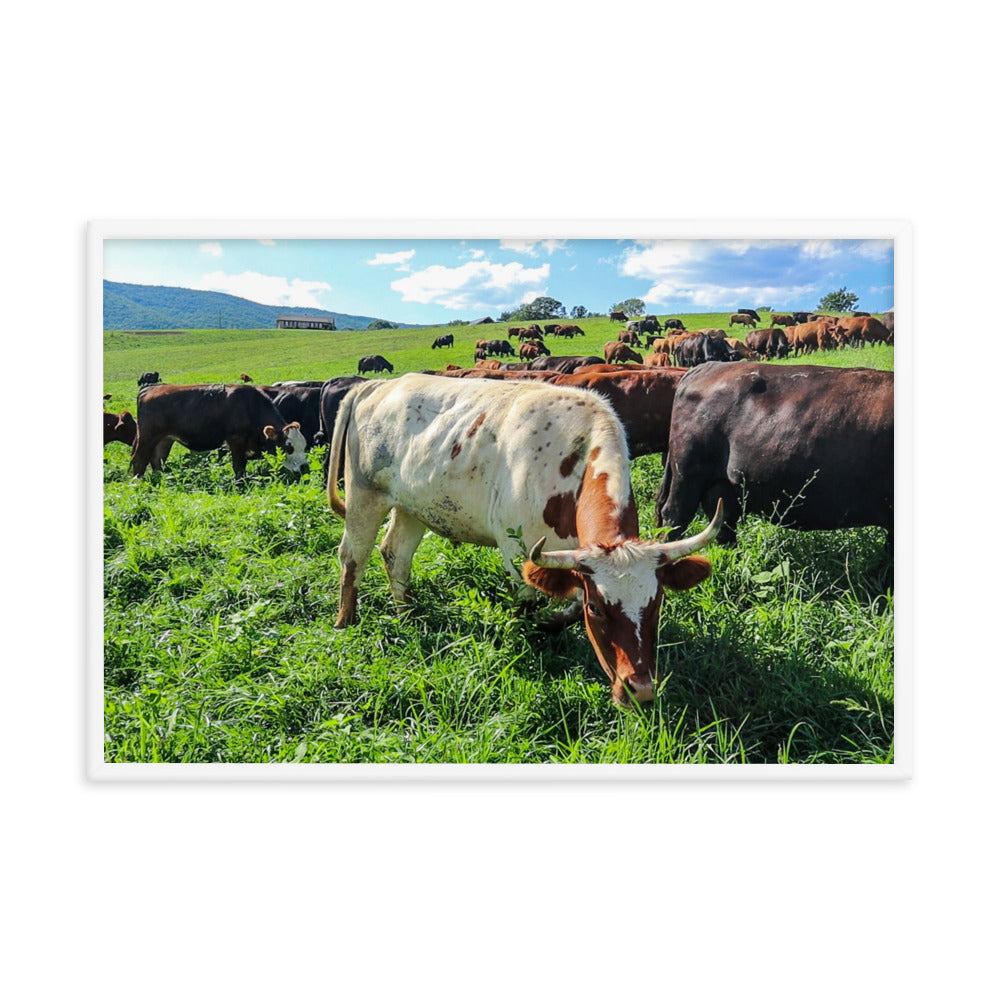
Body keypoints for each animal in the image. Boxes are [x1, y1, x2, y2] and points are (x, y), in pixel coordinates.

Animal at [129, 383, 310, 480]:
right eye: (288, 447)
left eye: (304, 445)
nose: (305, 468)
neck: (249, 406)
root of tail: (151, 388)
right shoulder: (236, 440)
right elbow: (239, 467)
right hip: (147, 437)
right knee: (139, 460)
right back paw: (138, 483)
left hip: (165, 439)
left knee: (157, 460)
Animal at [327, 373, 722, 706]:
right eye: (598, 609)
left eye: (656, 603)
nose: (639, 690)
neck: (572, 460)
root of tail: (378, 385)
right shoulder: (518, 552)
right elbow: (528, 606)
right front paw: (529, 641)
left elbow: (568, 606)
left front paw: (552, 623)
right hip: (364, 496)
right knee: (352, 557)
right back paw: (346, 622)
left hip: (411, 507)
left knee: (396, 555)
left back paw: (406, 614)